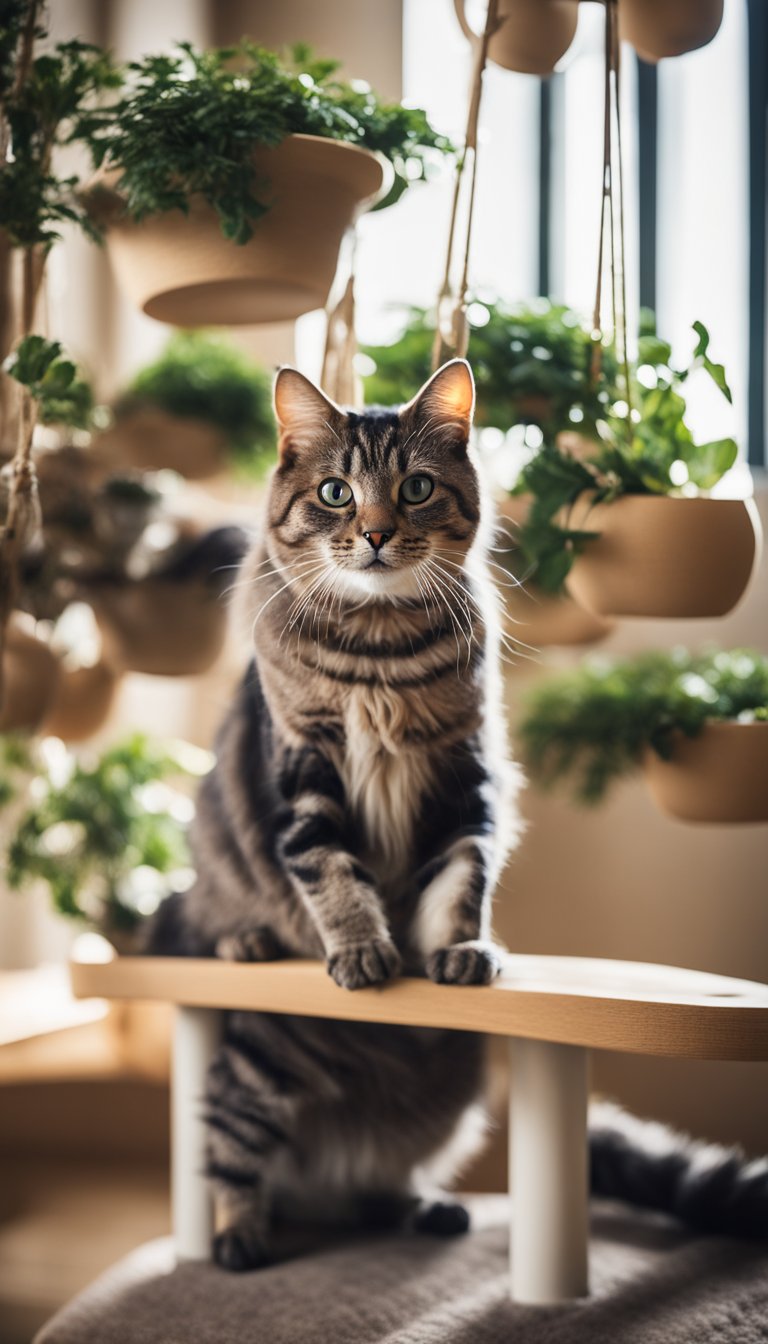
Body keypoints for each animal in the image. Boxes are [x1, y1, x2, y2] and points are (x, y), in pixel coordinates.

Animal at [149, 357, 768, 1257]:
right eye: (336, 492)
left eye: (414, 488)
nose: (375, 533)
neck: (378, 650)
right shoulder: (304, 770)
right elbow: (329, 871)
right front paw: (363, 950)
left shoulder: (465, 774)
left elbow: (461, 878)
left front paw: (458, 952)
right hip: (245, 1021)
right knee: (232, 1135)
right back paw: (238, 1226)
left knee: (373, 1191)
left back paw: (422, 1208)